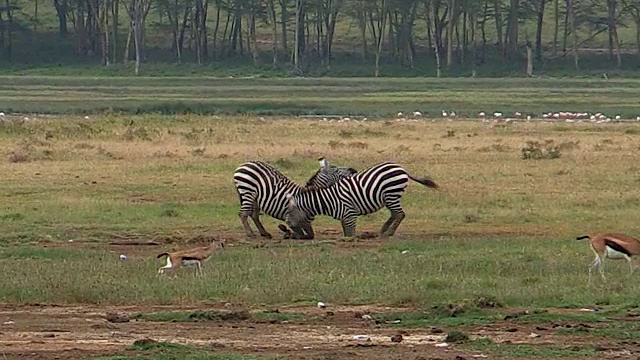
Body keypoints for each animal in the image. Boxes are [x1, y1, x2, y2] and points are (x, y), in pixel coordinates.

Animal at [284, 163, 440, 239]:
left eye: (290, 211)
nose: (287, 223)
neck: (326, 199)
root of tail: (402, 168)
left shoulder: (350, 215)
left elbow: (350, 234)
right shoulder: (344, 218)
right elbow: (346, 232)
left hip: (392, 193)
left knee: (400, 214)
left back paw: (388, 233)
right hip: (389, 197)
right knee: (395, 214)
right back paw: (383, 230)